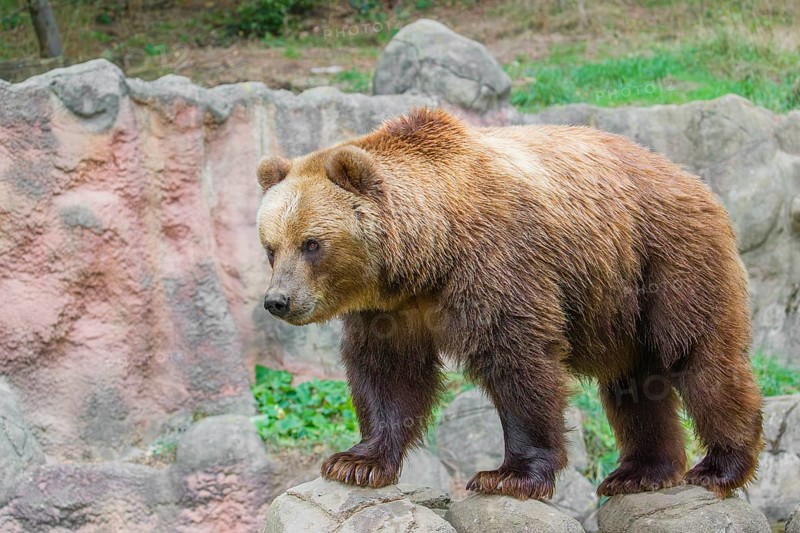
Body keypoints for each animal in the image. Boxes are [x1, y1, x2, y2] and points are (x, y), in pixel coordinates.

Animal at [255, 107, 763, 500]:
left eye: (312, 243)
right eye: (271, 247)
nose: (277, 300)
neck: (431, 256)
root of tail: (695, 181)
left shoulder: (500, 263)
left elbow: (518, 360)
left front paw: (509, 475)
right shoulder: (390, 309)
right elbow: (388, 372)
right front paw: (356, 462)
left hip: (667, 259)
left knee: (701, 357)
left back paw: (720, 465)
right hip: (622, 299)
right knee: (635, 383)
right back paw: (639, 473)